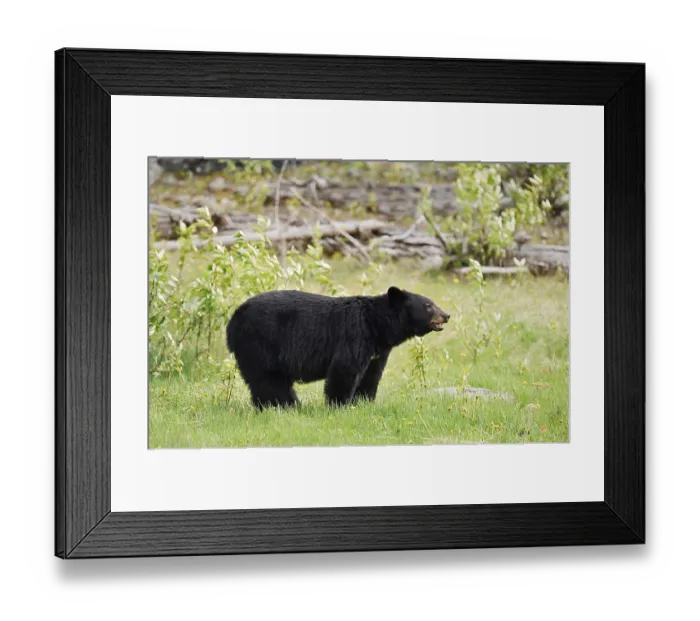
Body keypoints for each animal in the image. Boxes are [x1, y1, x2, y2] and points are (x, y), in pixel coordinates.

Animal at [226, 287, 450, 409]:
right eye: (428, 305)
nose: (446, 315)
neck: (376, 324)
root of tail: (233, 320)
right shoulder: (355, 334)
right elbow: (345, 368)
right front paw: (340, 405)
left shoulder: (378, 350)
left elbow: (371, 374)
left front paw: (364, 402)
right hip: (261, 342)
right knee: (269, 380)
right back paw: (286, 406)